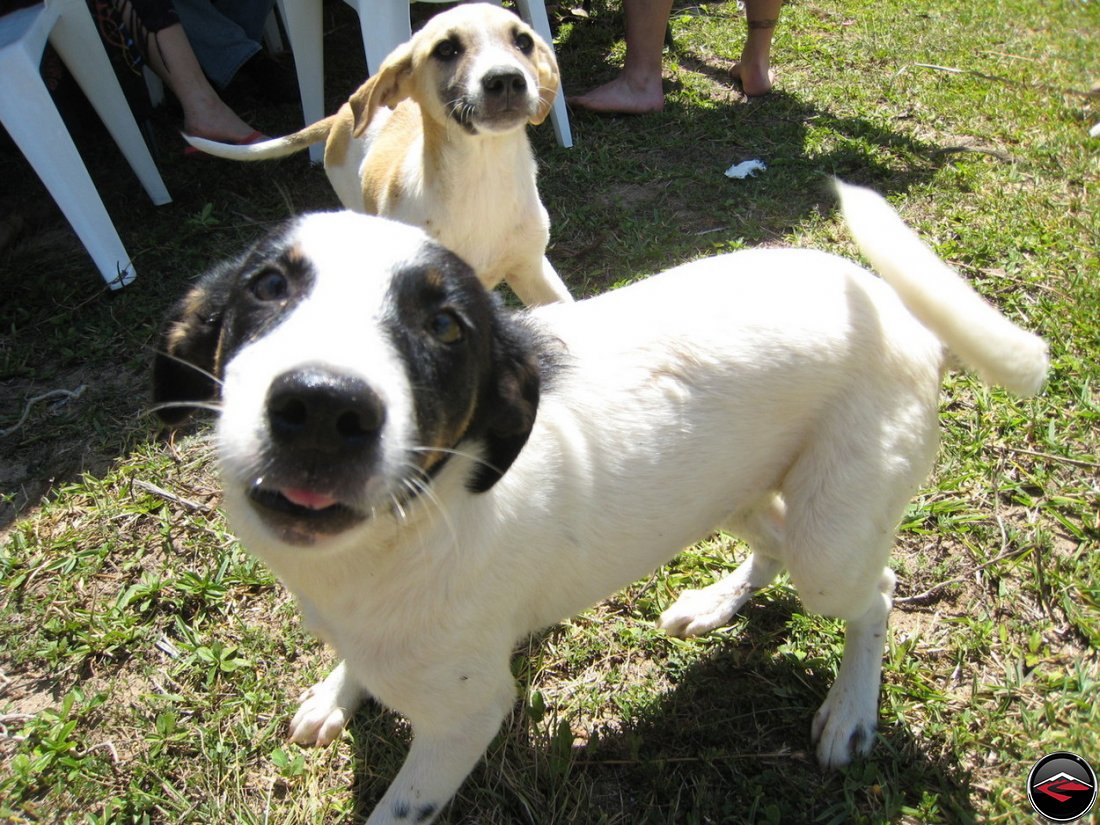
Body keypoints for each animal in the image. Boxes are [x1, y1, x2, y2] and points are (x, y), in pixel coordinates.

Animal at [152, 182, 1047, 825]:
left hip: (833, 541)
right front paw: (339, 691)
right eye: (268, 284)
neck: (404, 530)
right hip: (727, 487)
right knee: (773, 541)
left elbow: (401, 805)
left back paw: (850, 709)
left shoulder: (468, 716)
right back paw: (716, 602)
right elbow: (355, 662)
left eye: (446, 325)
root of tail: (905, 319)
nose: (321, 405)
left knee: (876, 590)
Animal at [184, 3, 572, 308]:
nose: (505, 80)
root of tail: (340, 115)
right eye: (446, 49)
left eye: (523, 41)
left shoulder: (533, 270)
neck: (483, 177)